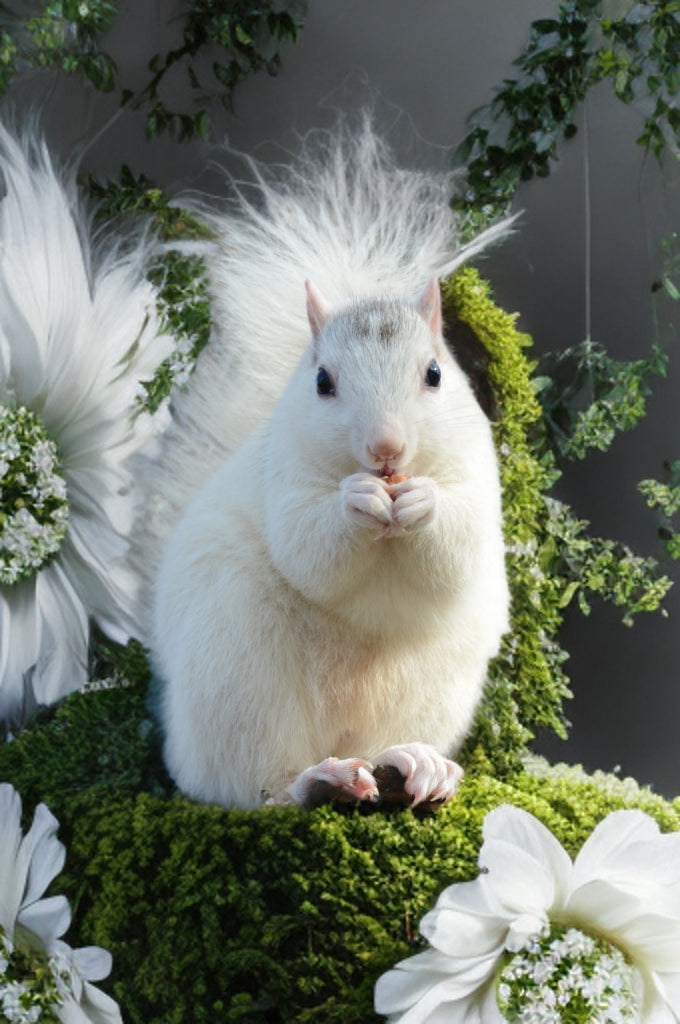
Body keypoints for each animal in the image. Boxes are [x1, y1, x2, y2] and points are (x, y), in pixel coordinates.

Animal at [144, 118, 511, 809]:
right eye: (322, 382)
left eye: (435, 374)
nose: (386, 450)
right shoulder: (282, 480)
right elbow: (309, 548)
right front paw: (355, 501)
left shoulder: (479, 476)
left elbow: (461, 542)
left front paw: (424, 503)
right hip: (239, 682)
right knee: (261, 788)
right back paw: (319, 779)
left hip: (429, 688)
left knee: (386, 745)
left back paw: (419, 762)